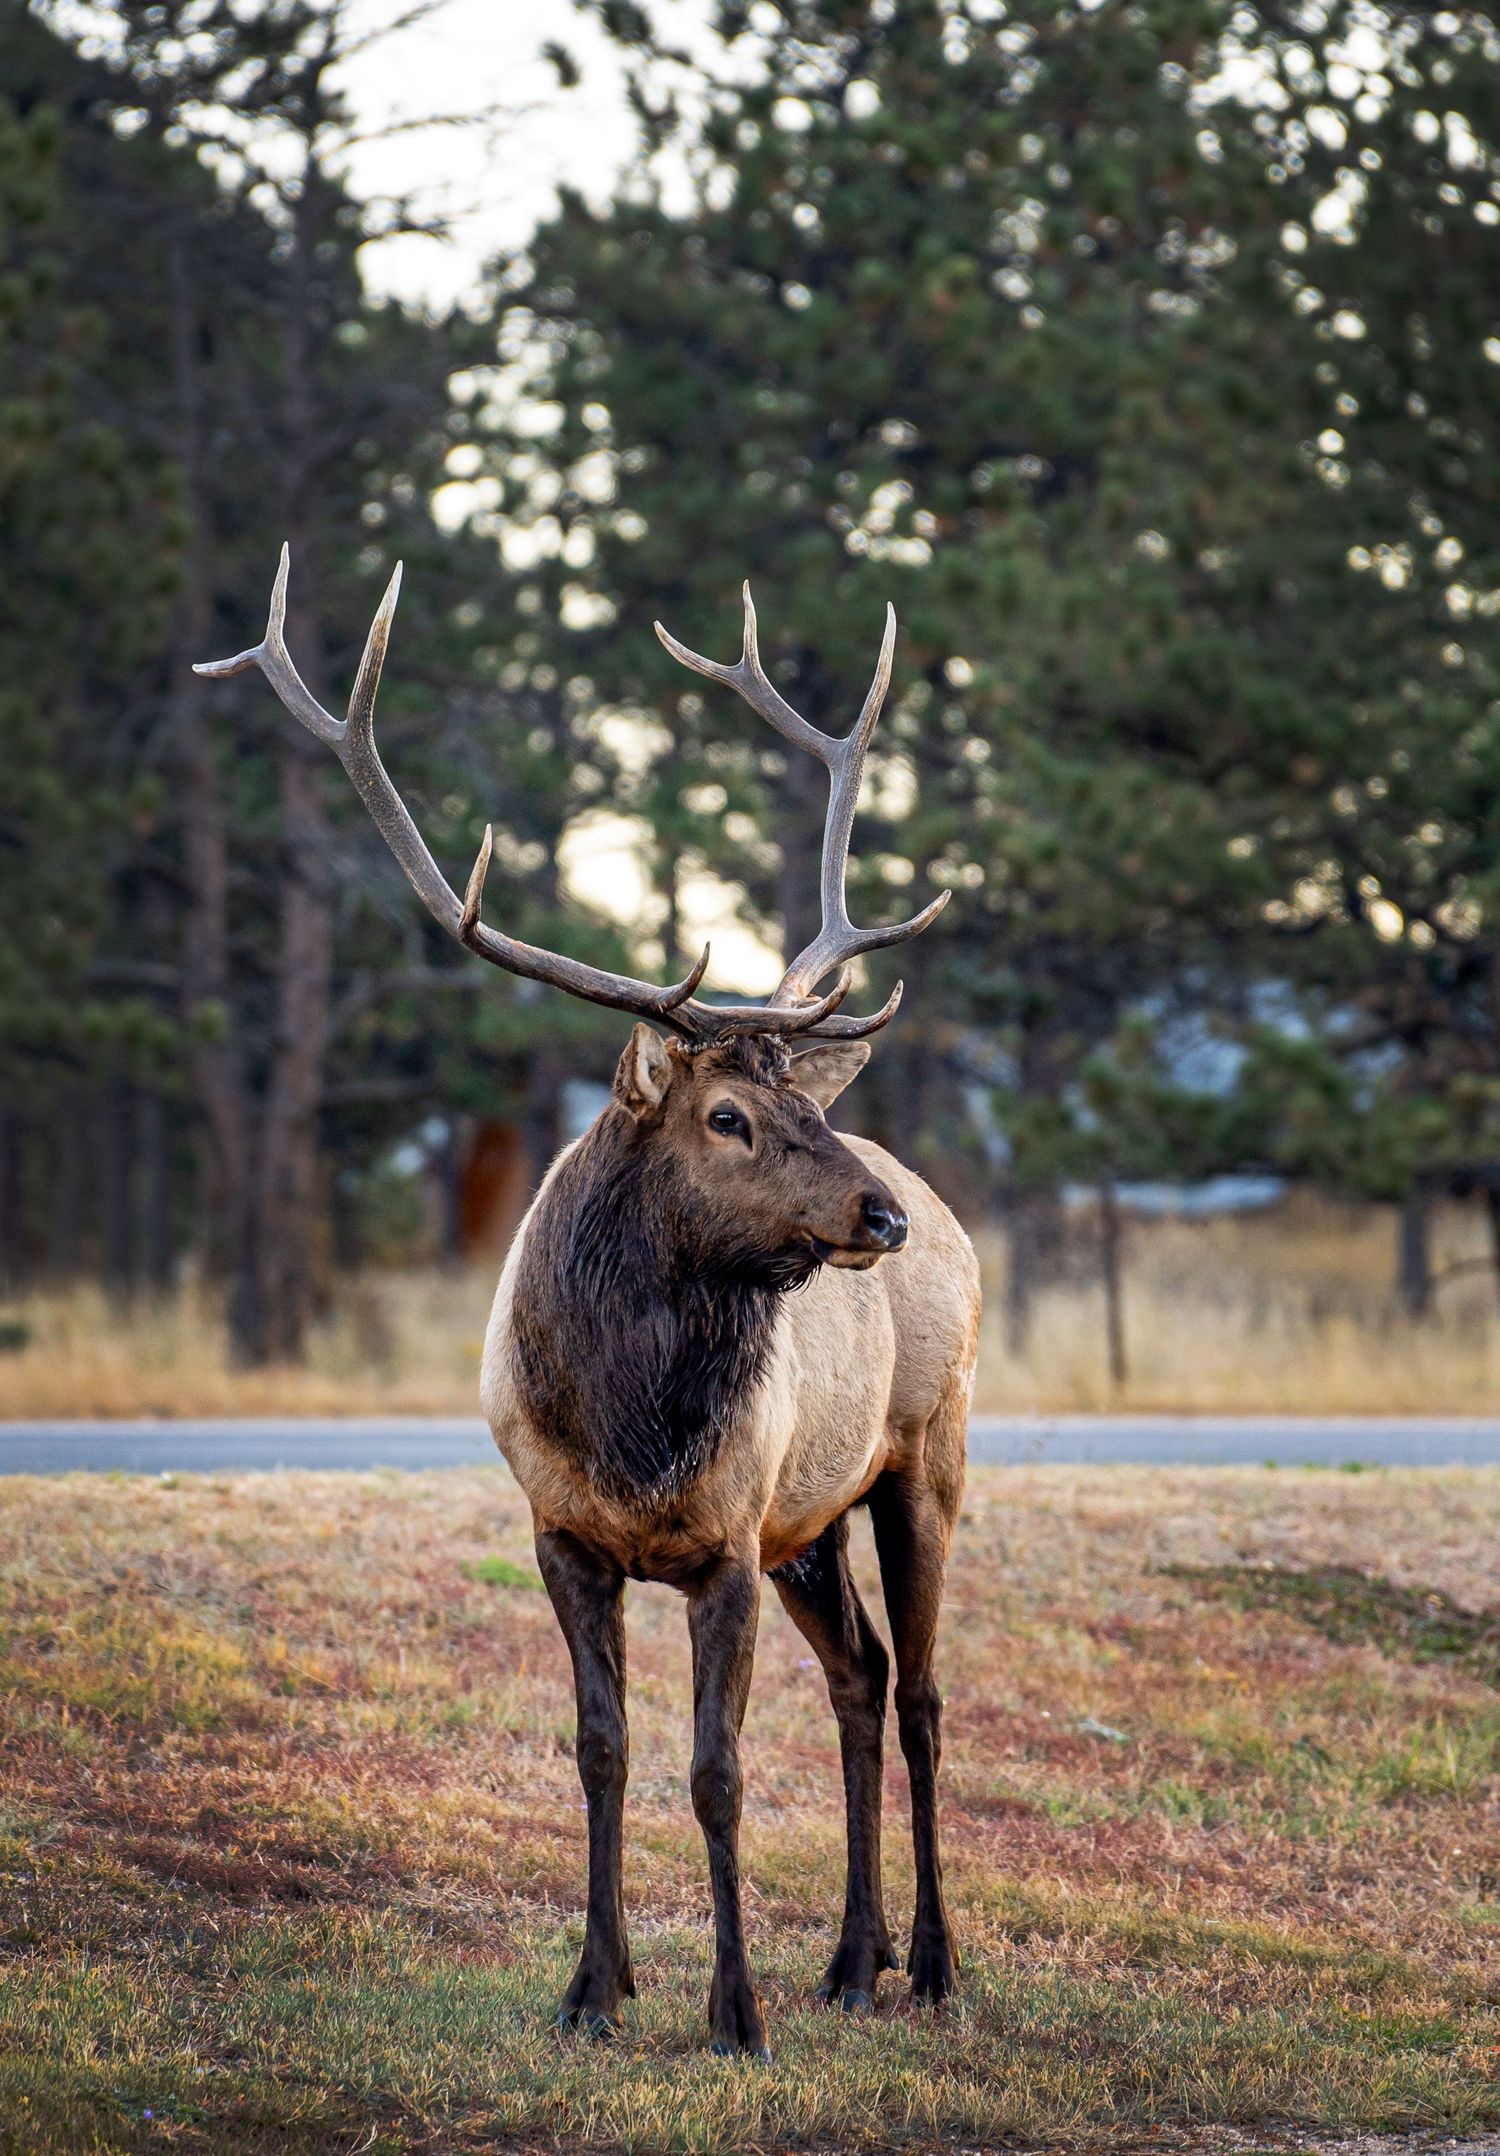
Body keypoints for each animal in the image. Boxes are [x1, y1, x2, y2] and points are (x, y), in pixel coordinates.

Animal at [197, 553, 981, 2061]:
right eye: (730, 1114)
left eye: (799, 1101)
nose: (879, 1217)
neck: (631, 1427)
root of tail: (957, 1212)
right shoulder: (564, 1531)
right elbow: (603, 1751)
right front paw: (595, 1990)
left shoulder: (726, 1539)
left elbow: (717, 1771)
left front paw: (732, 2013)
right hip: (811, 1525)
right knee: (860, 1680)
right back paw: (849, 1960)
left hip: (926, 1457)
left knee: (921, 1695)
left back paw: (929, 1961)